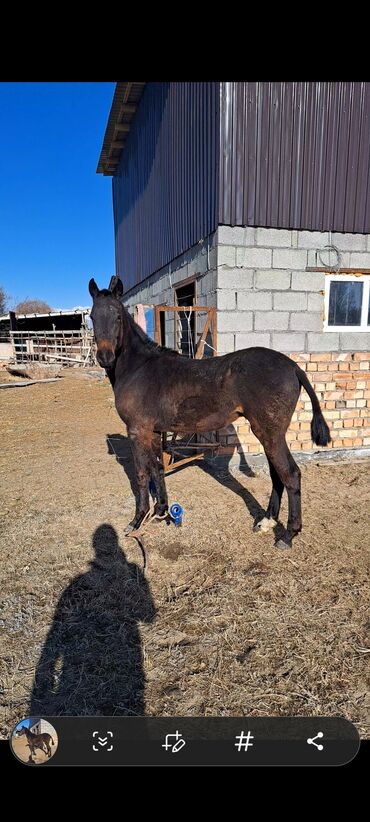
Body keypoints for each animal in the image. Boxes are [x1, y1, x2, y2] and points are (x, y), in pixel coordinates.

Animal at [89, 278, 330, 552]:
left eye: (117, 316)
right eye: (92, 316)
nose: (105, 357)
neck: (139, 368)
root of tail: (293, 367)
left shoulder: (137, 430)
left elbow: (141, 474)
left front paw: (136, 521)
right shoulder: (153, 431)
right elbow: (157, 468)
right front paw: (161, 511)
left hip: (269, 433)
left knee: (290, 474)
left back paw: (288, 535)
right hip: (270, 434)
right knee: (276, 474)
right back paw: (266, 521)